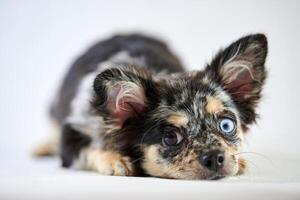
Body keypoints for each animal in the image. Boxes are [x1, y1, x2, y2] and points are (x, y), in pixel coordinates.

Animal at [34, 33, 268, 180]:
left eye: (227, 126)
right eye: (171, 137)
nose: (215, 158)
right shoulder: (71, 136)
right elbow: (90, 148)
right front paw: (114, 159)